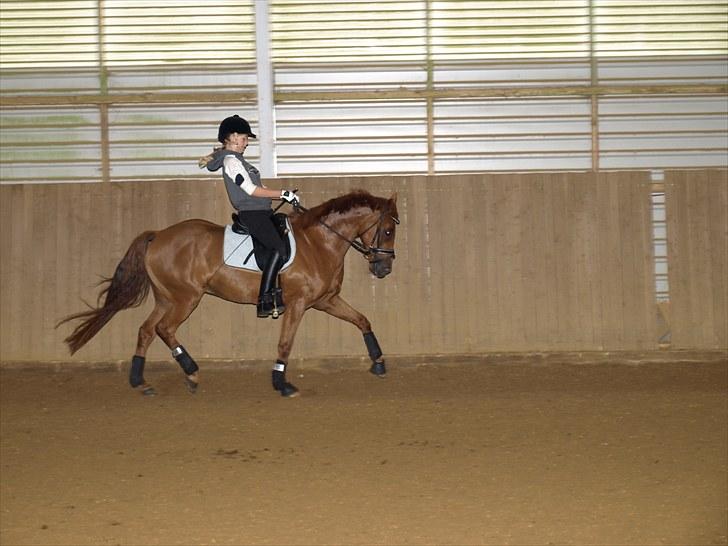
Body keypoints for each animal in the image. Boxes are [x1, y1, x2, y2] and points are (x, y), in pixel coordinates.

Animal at [57, 190, 400, 398]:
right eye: (387, 230)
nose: (383, 269)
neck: (318, 242)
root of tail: (159, 235)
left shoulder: (326, 300)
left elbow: (362, 320)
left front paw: (379, 363)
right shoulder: (299, 303)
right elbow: (286, 343)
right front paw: (281, 383)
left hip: (167, 298)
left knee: (146, 330)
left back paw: (140, 381)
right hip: (186, 298)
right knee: (164, 329)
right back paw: (191, 373)